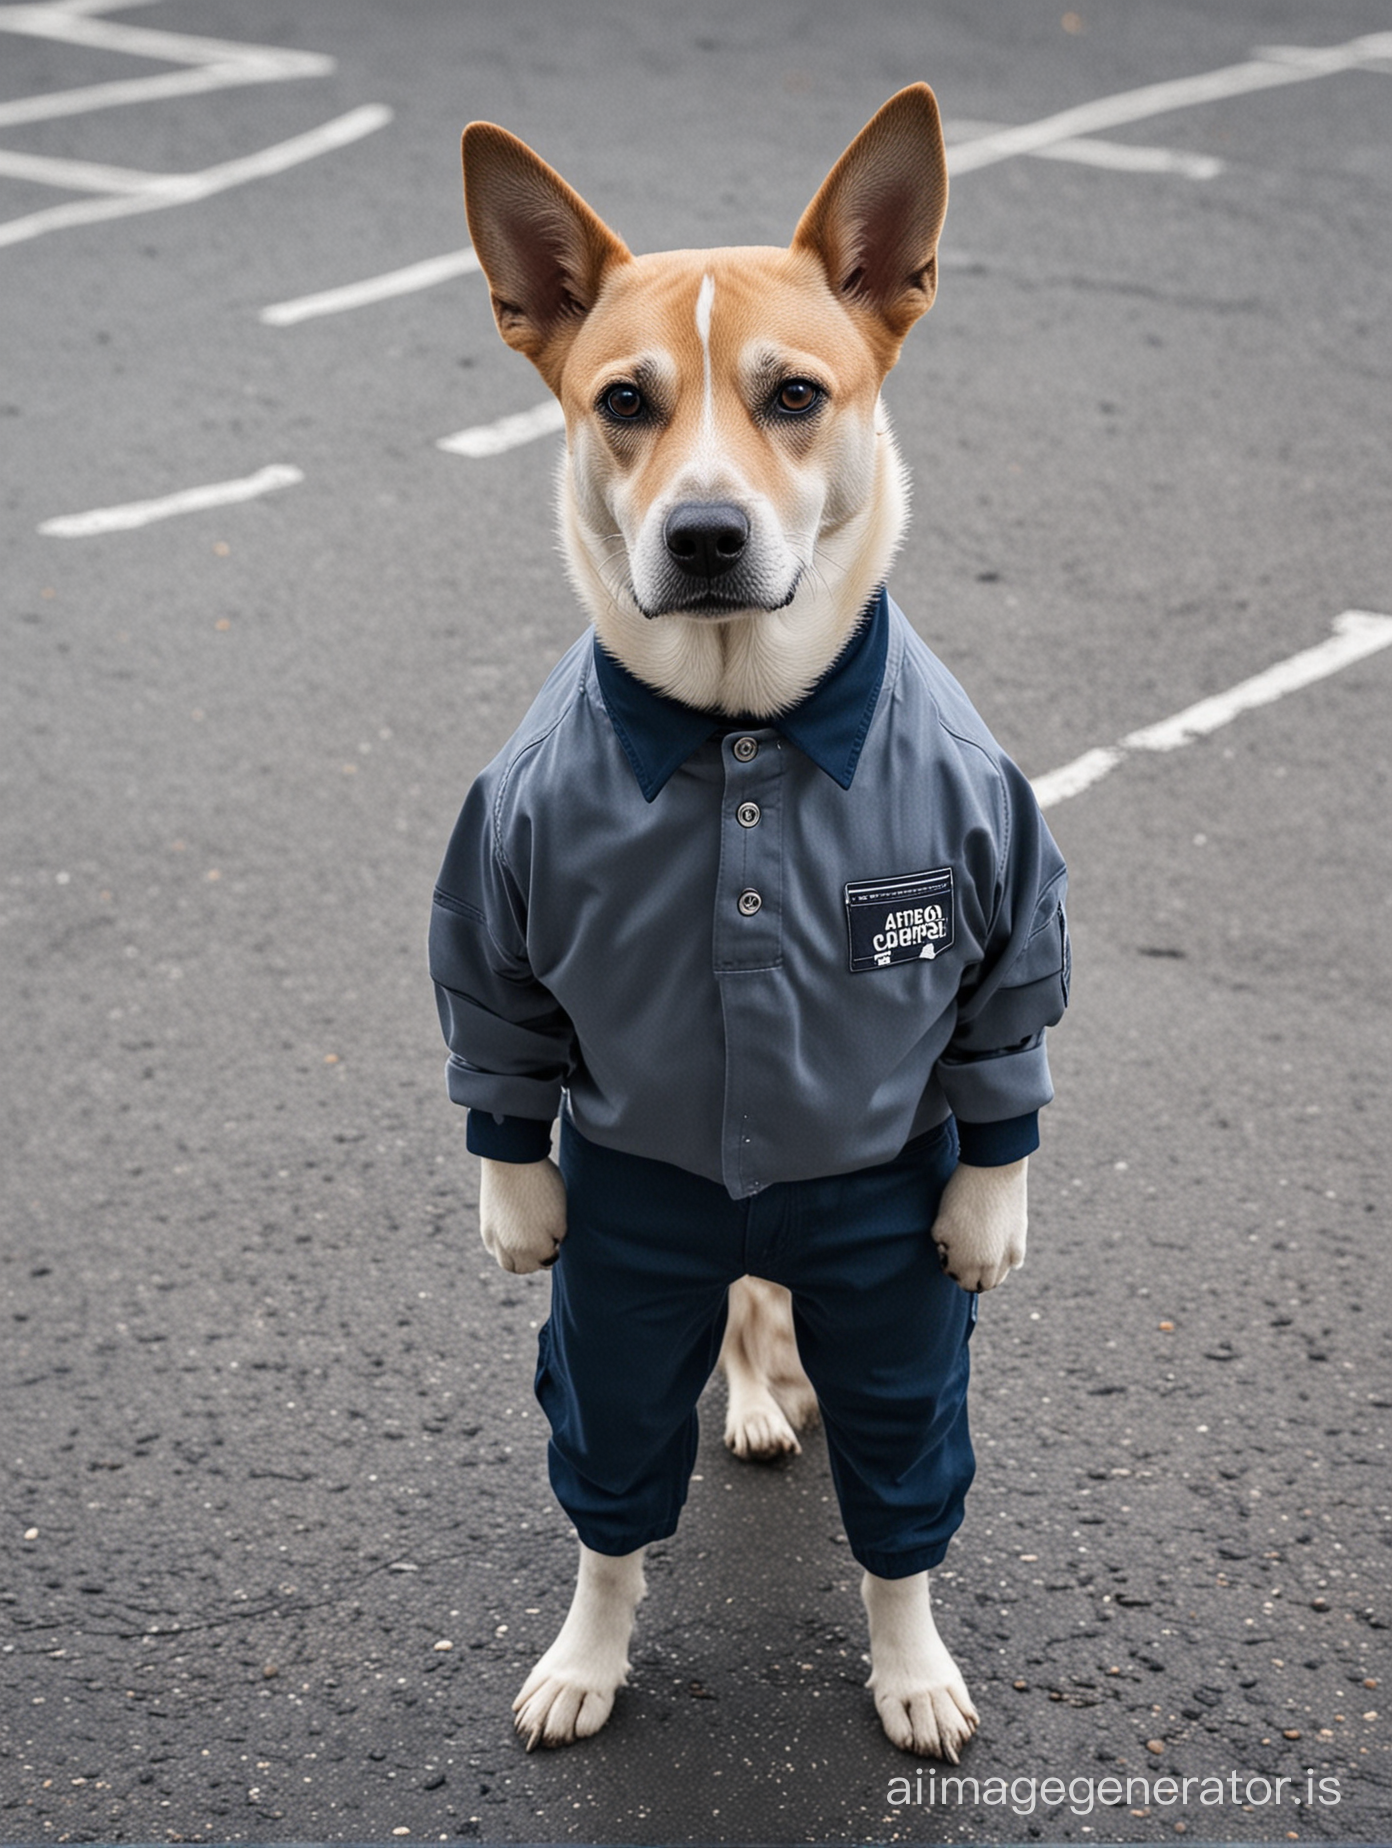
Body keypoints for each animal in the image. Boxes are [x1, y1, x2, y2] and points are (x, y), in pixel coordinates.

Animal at [428, 83, 1072, 1759]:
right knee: (706, 1342)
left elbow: (1004, 1026)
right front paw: (588, 1662)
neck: (740, 732)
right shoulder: (498, 895)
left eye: (794, 395)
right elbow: (496, 1025)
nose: (706, 535)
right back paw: (765, 1397)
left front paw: (910, 1674)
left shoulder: (1001, 896)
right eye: (623, 401)